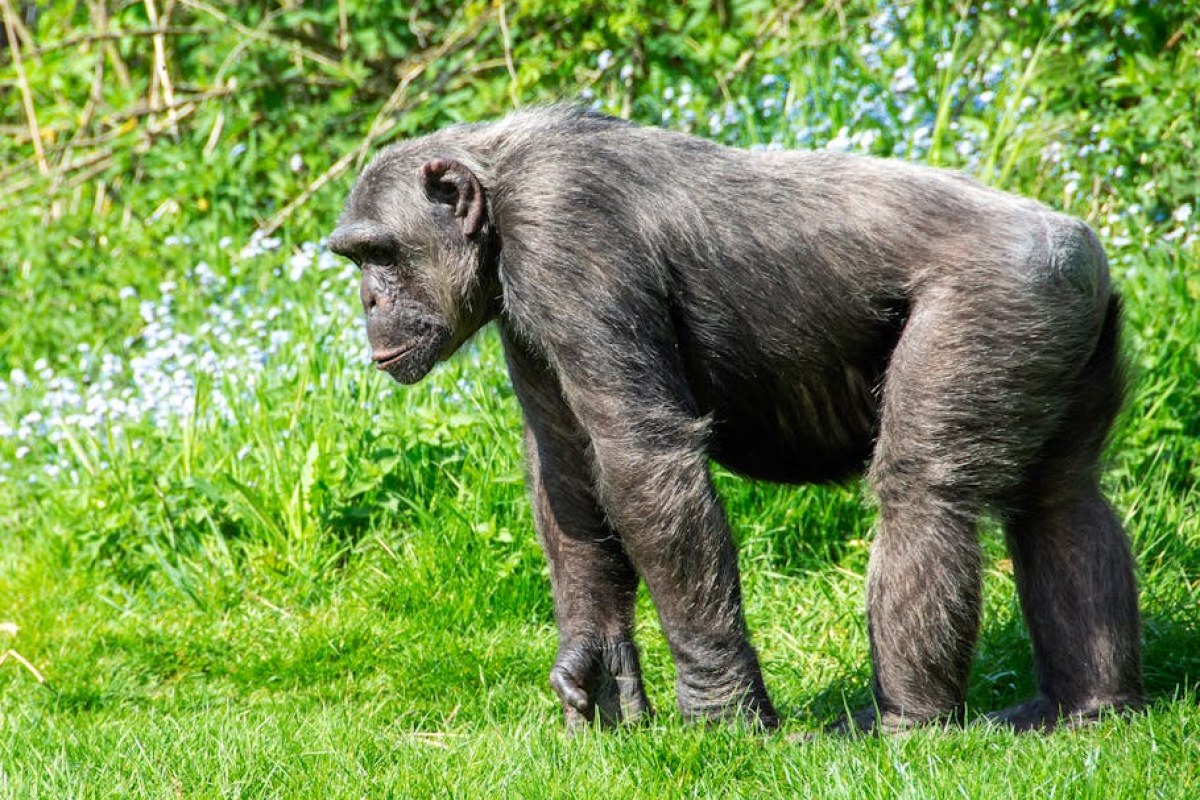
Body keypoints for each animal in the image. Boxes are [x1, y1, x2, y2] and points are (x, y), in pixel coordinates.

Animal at [328, 106, 1143, 734]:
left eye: (381, 253)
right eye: (357, 259)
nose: (366, 299)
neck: (500, 193)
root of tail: (1079, 244)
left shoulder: (564, 239)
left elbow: (642, 457)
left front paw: (722, 713)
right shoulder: (524, 316)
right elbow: (566, 468)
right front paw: (595, 663)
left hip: (993, 302)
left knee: (922, 496)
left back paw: (908, 723)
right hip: (1063, 323)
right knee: (1062, 500)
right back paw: (1086, 706)